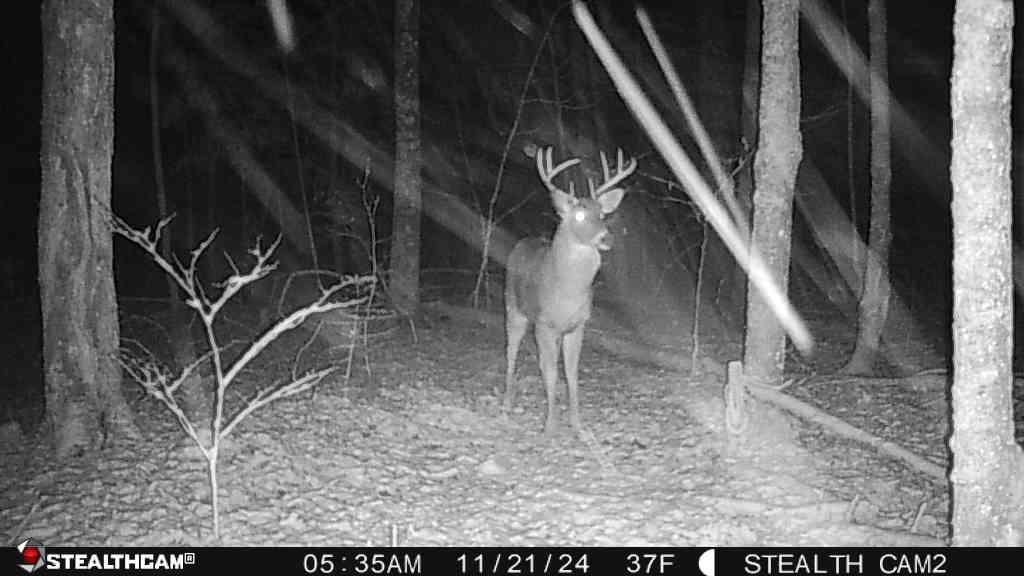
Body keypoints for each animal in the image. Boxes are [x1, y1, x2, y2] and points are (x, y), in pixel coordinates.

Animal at [504, 146, 636, 436]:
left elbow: (572, 373)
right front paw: (550, 426)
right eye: (579, 215)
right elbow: (552, 373)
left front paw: (578, 425)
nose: (606, 238)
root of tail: (522, 242)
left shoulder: (578, 325)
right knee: (511, 350)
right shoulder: (544, 323)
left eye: (602, 214)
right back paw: (507, 401)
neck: (566, 291)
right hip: (513, 307)